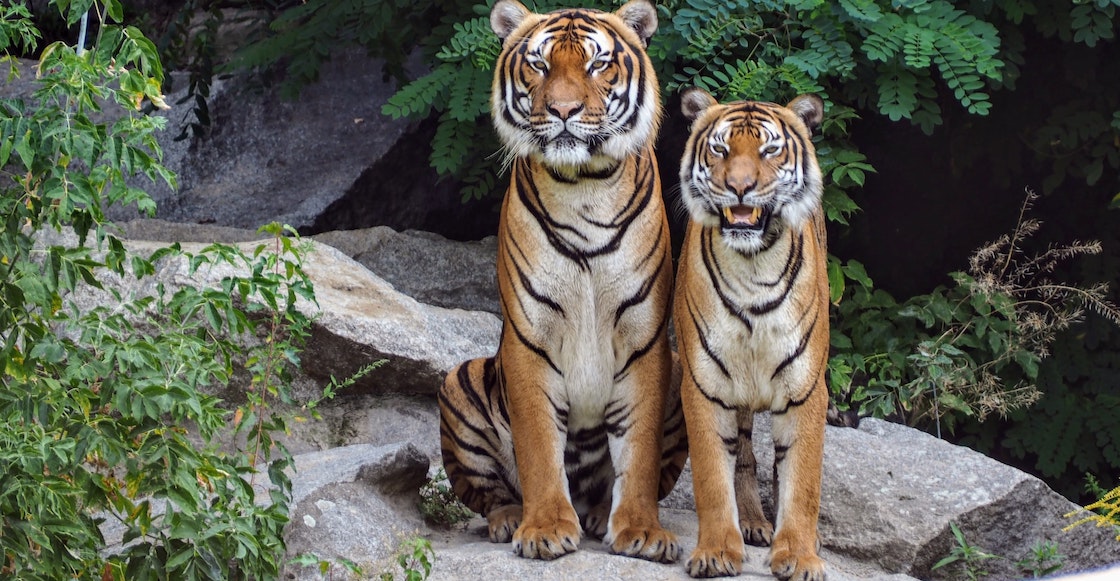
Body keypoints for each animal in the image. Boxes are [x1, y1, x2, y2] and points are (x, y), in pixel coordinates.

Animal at [437, 0, 687, 564]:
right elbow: (537, 446)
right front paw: (546, 528)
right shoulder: (530, 338)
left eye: (597, 65)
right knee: (489, 493)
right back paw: (511, 518)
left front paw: (641, 530)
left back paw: (598, 515)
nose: (564, 111)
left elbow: (638, 453)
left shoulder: (645, 341)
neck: (584, 186)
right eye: (539, 64)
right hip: (459, 380)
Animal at [672, 87, 830, 580]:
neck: (753, 266)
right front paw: (717, 551)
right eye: (721, 150)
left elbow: (802, 481)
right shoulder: (703, 385)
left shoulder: (806, 389)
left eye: (769, 150)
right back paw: (754, 525)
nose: (739, 187)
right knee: (743, 456)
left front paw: (799, 555)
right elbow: (711, 475)